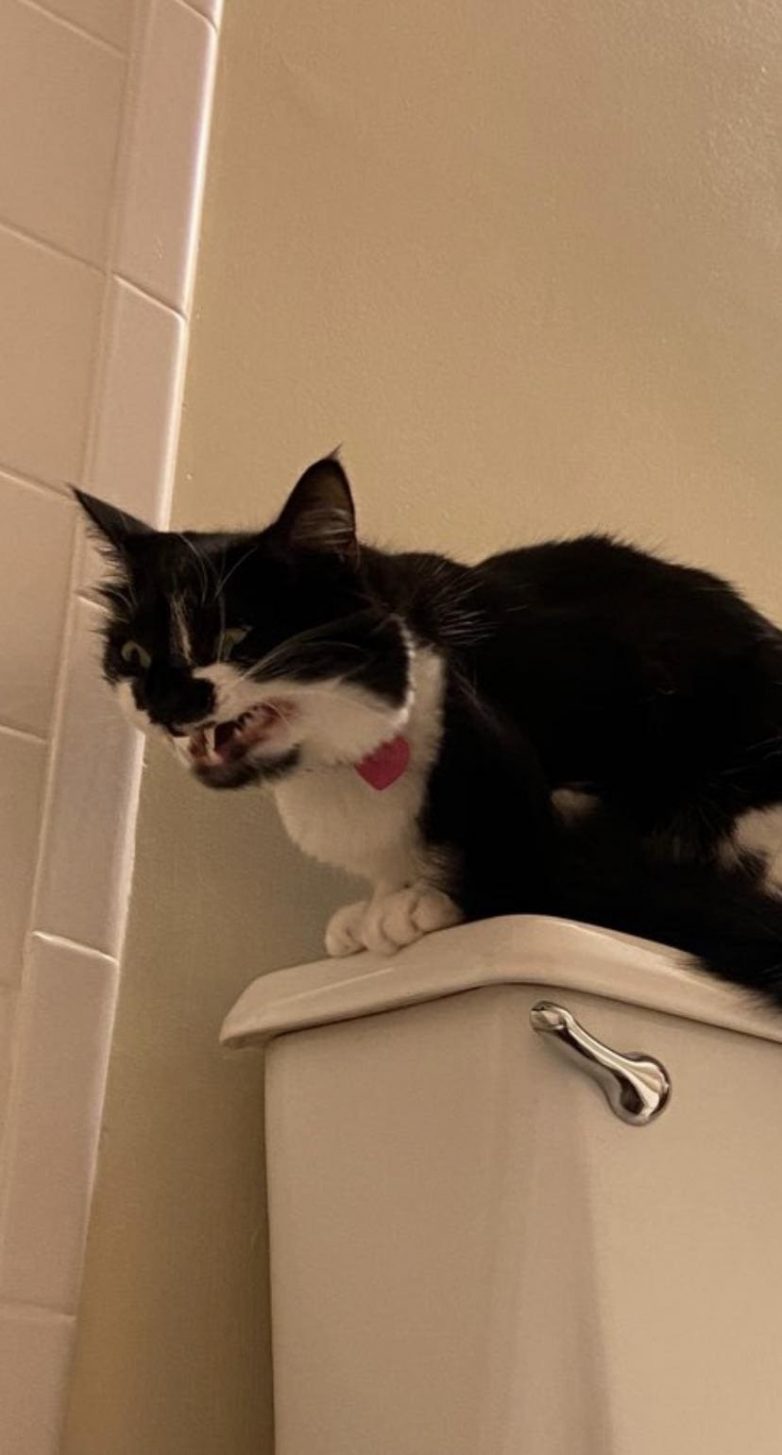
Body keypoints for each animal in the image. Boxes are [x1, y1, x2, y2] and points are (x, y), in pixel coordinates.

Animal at [75, 455, 782, 1004]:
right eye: (133, 655)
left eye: (235, 637)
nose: (163, 701)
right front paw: (383, 899)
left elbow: (529, 849)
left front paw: (431, 901)